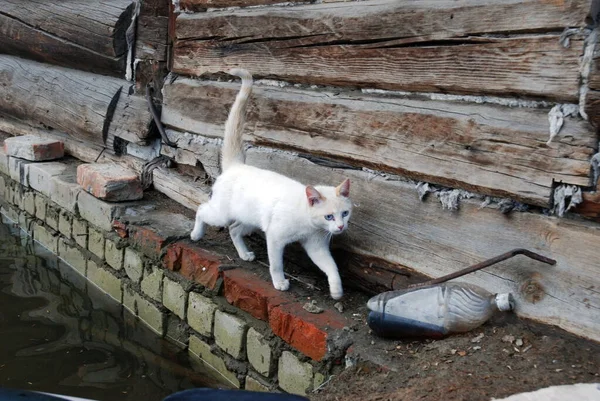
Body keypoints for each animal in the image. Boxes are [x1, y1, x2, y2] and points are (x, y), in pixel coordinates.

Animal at [190, 69, 352, 298]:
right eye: (329, 216)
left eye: (345, 213)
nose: (340, 226)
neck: (307, 221)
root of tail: (236, 165)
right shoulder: (275, 238)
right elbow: (276, 265)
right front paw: (280, 282)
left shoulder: (316, 246)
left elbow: (332, 267)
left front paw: (336, 290)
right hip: (221, 214)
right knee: (202, 209)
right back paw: (196, 234)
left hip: (250, 218)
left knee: (234, 229)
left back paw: (244, 253)